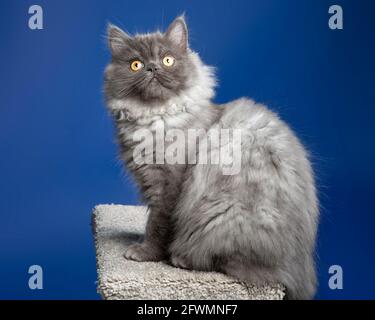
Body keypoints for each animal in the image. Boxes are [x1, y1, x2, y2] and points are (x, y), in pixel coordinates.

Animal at [103, 15, 320, 300]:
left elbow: (157, 225)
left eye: (167, 60)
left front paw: (145, 253)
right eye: (135, 65)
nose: (152, 68)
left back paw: (180, 258)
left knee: (229, 263)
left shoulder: (168, 185)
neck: (156, 118)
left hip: (220, 216)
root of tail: (302, 266)